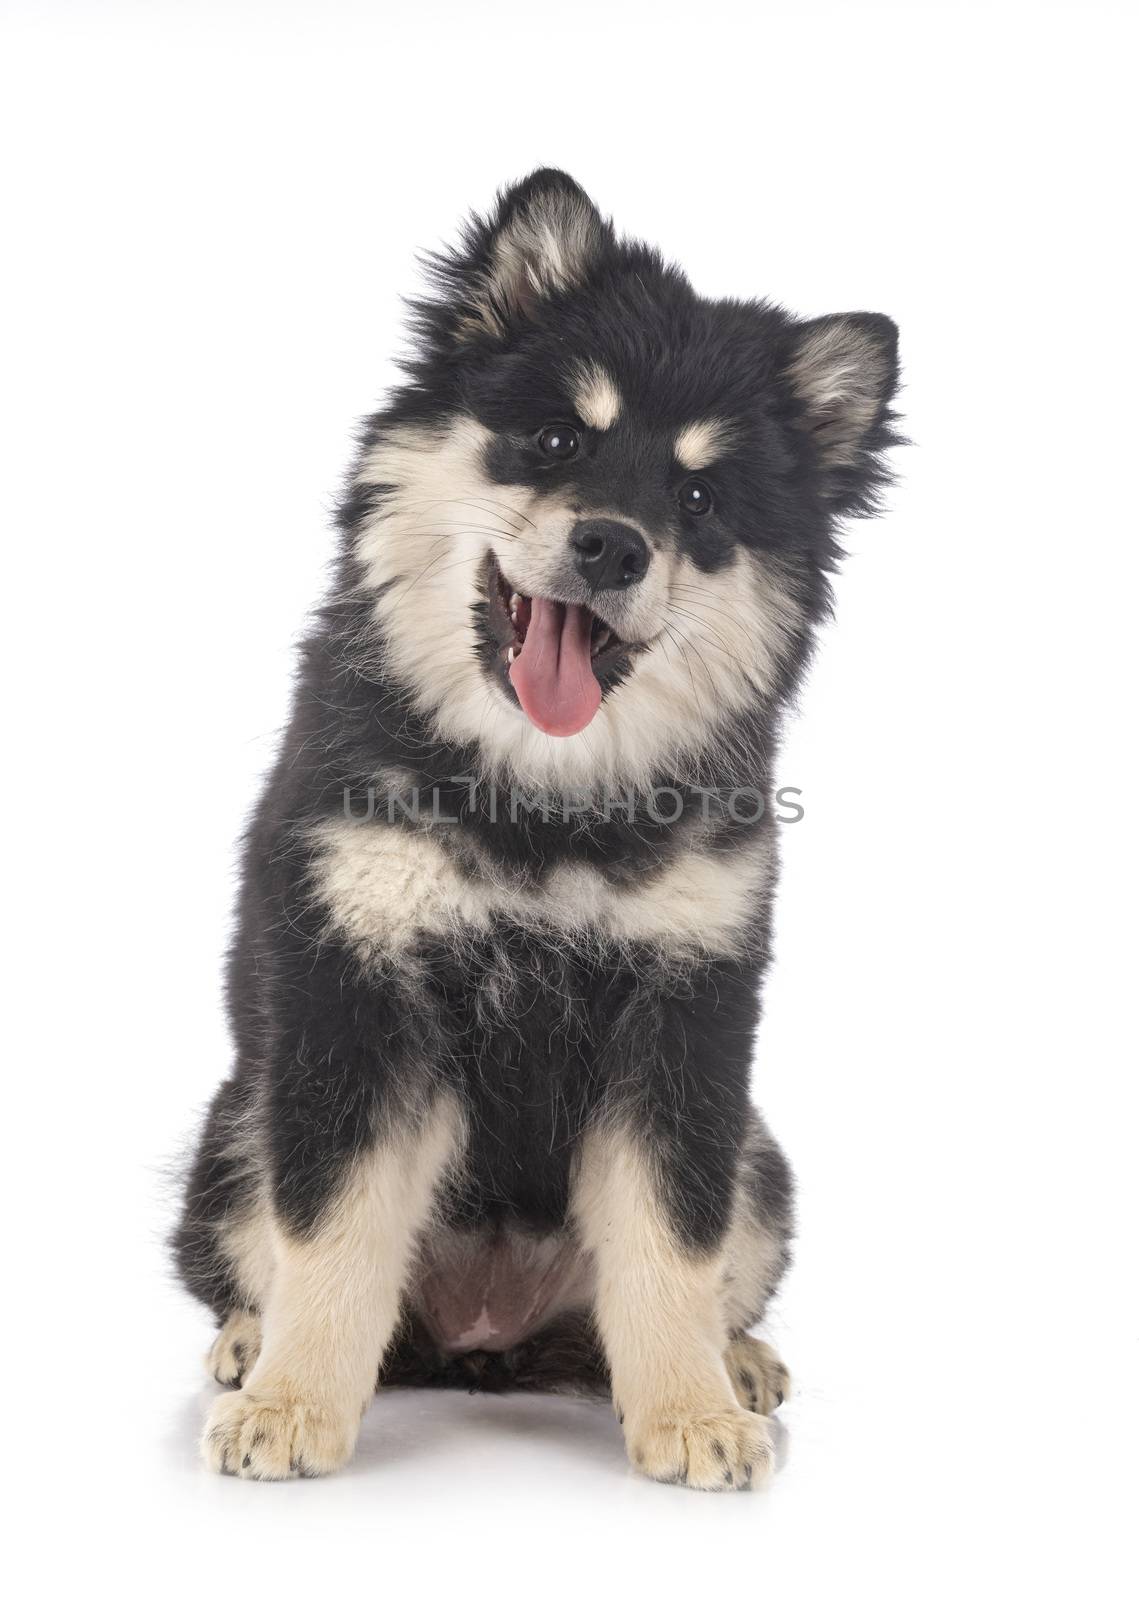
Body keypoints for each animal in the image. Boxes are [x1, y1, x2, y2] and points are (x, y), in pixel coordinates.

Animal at [171, 168, 895, 1491]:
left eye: (699, 498)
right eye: (558, 439)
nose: (611, 543)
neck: (538, 801)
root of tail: (485, 1336)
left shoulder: (683, 1022)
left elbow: (668, 1238)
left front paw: (692, 1414)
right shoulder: (356, 999)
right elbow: (334, 1229)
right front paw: (293, 1405)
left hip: (758, 1153)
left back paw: (737, 1360)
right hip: (237, 1122)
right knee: (255, 1258)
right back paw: (251, 1346)